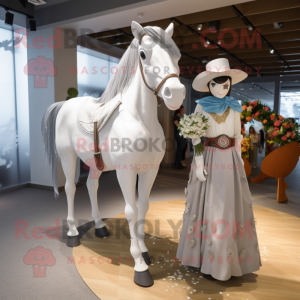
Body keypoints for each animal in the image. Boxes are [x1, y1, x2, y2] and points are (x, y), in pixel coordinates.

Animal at [42, 21, 185, 286]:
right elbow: (131, 210)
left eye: (177, 55)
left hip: (93, 163)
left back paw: (100, 226)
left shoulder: (150, 171)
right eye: (143, 54)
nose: (176, 93)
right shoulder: (125, 172)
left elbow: (144, 206)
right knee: (70, 189)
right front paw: (140, 265)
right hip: (68, 158)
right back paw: (73, 233)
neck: (140, 119)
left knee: (91, 186)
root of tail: (65, 104)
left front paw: (145, 251)